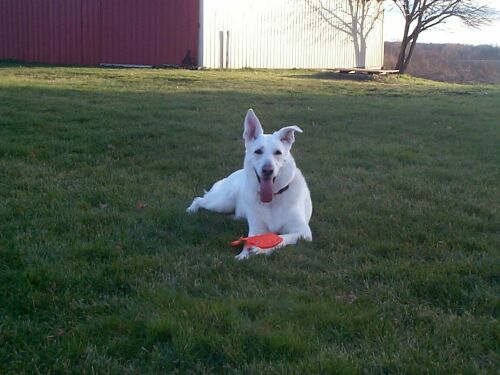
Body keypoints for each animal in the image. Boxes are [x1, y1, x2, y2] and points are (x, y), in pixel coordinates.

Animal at [188, 110, 312, 260]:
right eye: (258, 151)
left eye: (278, 153)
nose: (268, 170)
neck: (273, 199)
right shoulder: (257, 229)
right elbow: (253, 239)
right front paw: (243, 254)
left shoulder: (304, 233)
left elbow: (281, 238)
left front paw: (259, 250)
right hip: (222, 202)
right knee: (199, 199)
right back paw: (191, 210)